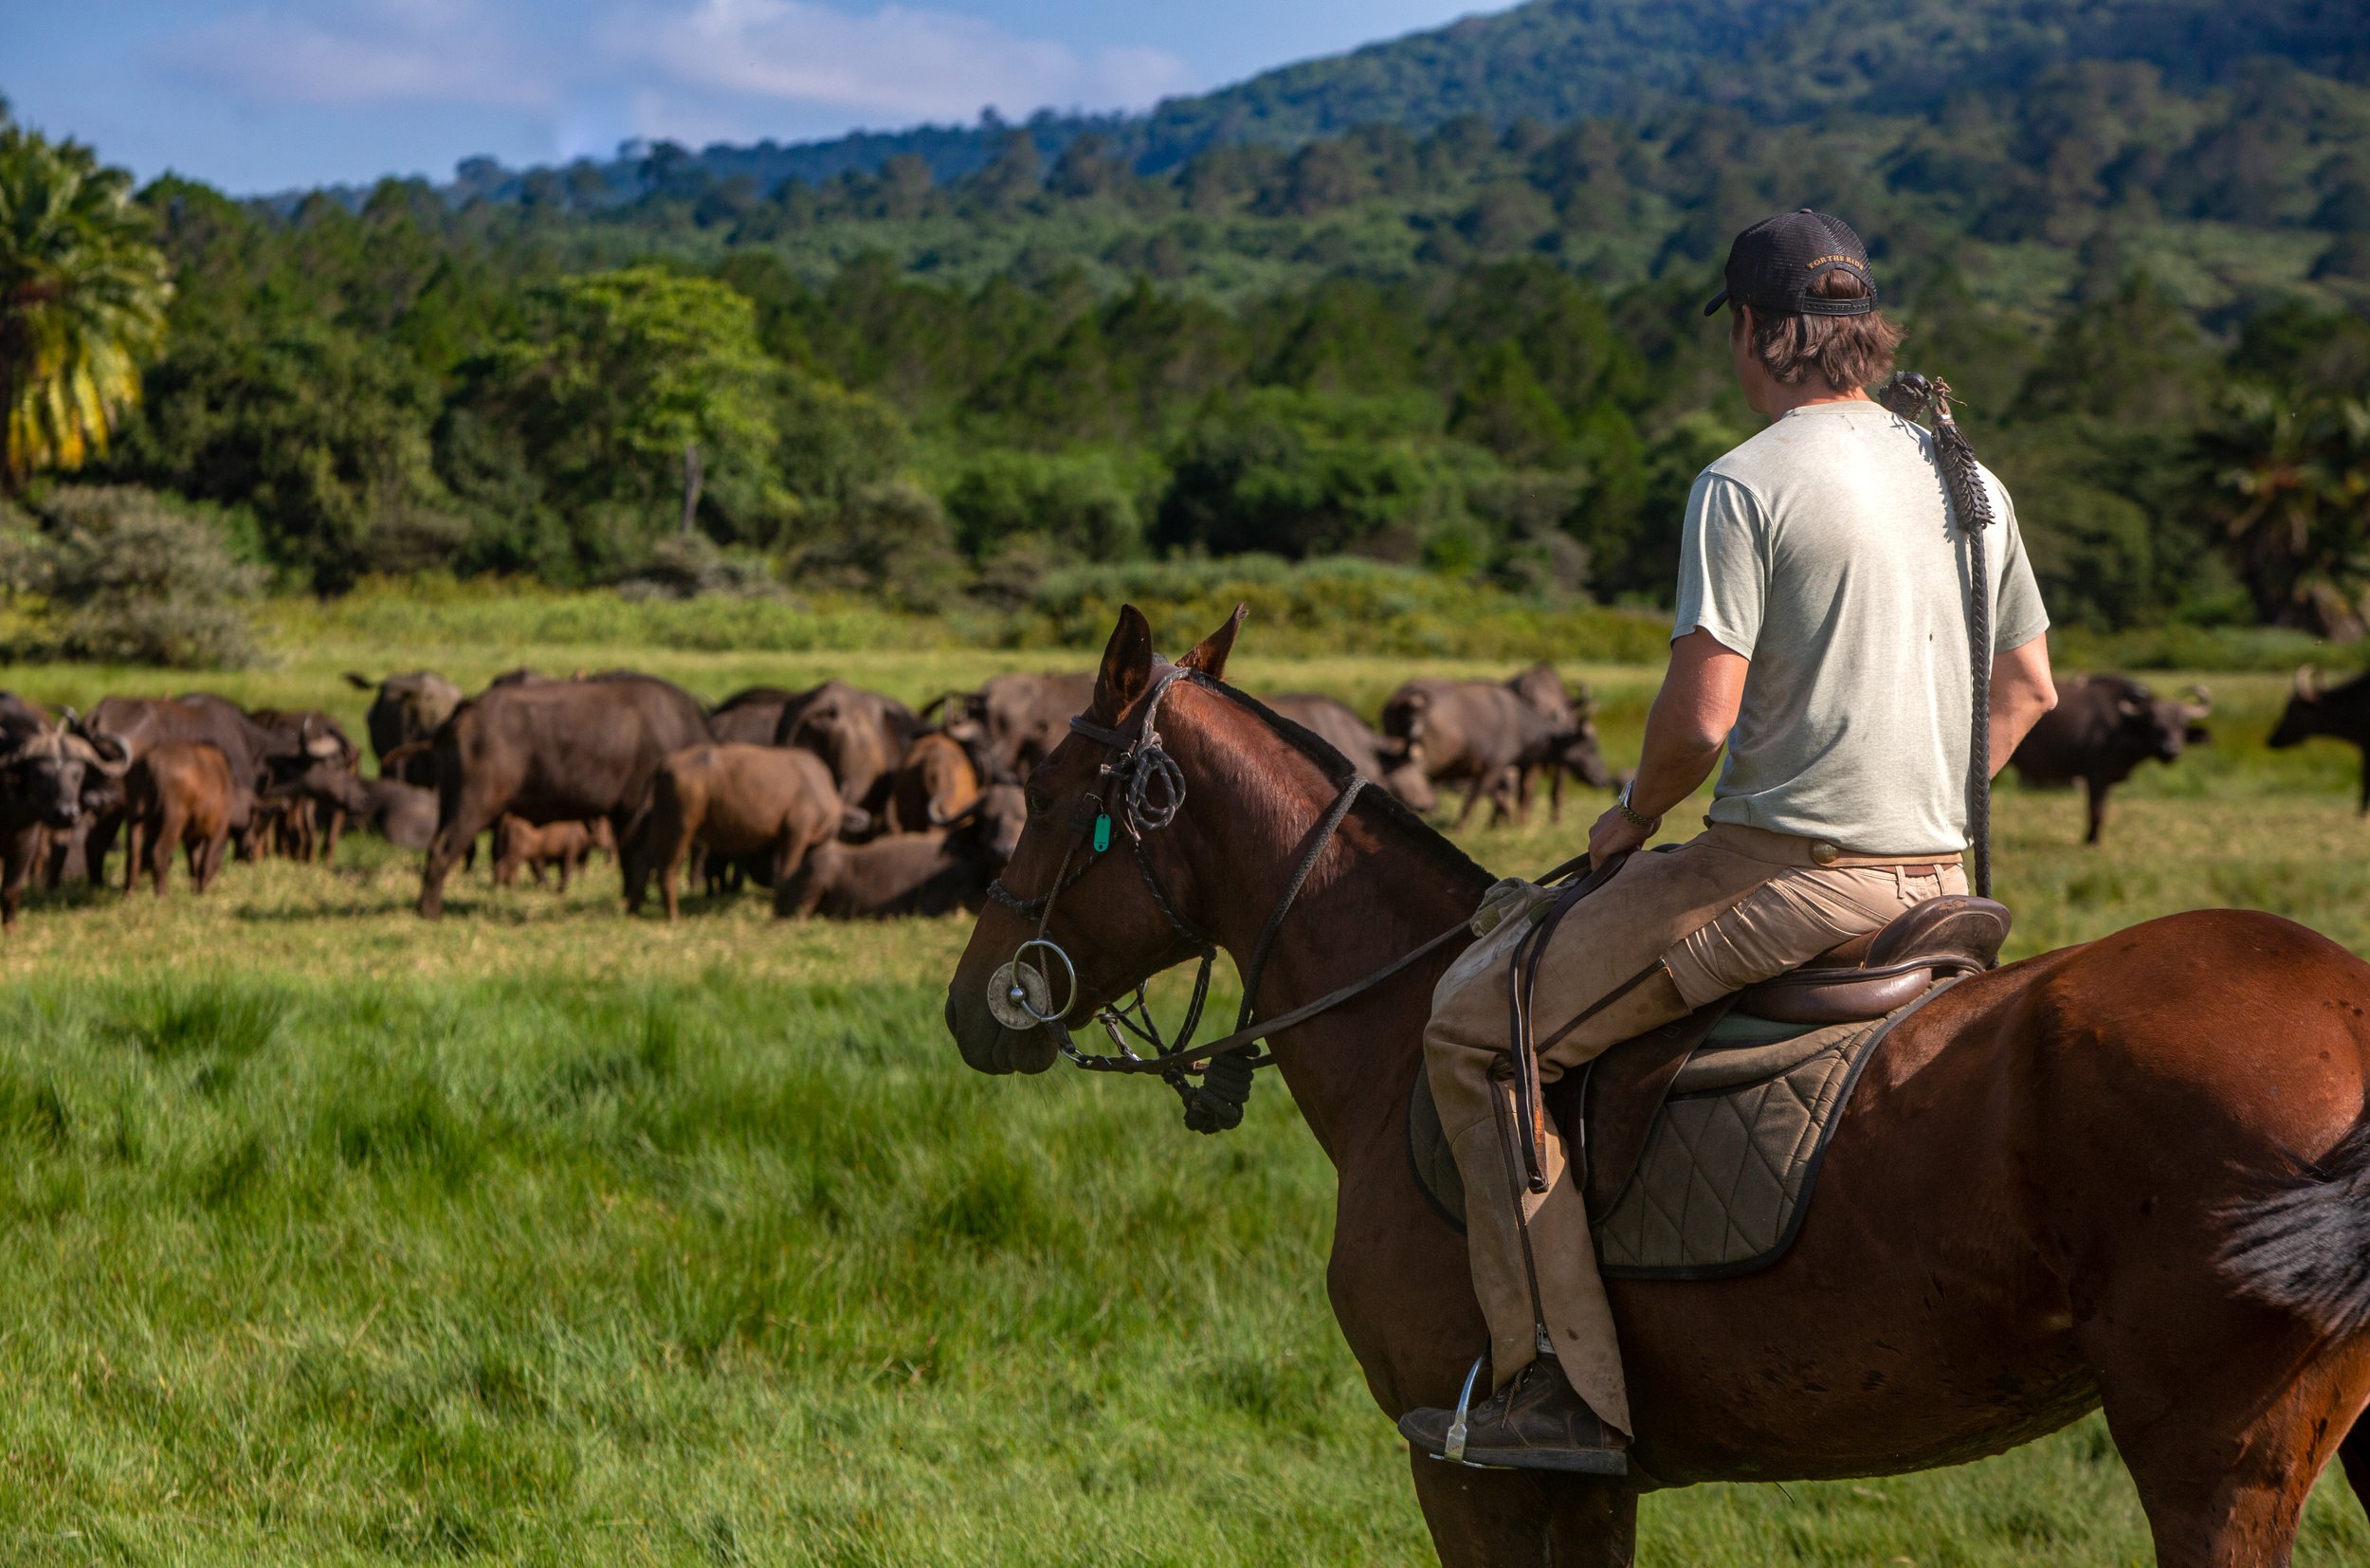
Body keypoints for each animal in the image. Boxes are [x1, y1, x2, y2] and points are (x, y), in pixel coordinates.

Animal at [417, 674, 713, 918]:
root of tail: (465, 714)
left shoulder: (621, 814)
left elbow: (626, 858)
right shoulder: (638, 808)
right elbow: (638, 856)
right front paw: (634, 905)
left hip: (450, 804)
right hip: (474, 806)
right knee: (443, 850)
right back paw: (431, 911)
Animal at [2009, 674, 2210, 844]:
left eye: (2181, 725)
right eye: (2154, 724)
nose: (2170, 750)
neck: (2120, 726)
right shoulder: (2096, 776)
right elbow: (2097, 810)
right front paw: (2092, 840)